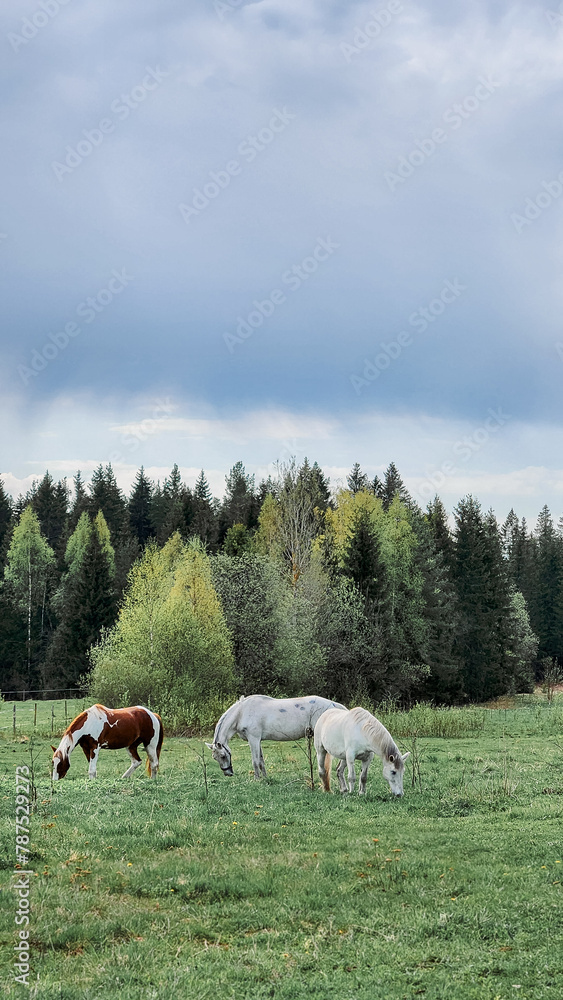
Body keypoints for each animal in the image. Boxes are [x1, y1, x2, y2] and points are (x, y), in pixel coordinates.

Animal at [207, 696, 348, 780]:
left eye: (223, 756)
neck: (242, 712)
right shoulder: (258, 741)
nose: (228, 774)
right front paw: (265, 778)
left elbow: (255, 761)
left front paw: (257, 780)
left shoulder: (253, 739)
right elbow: (261, 761)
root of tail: (334, 705)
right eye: (215, 758)